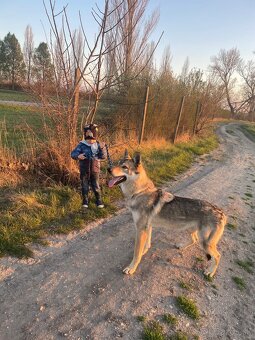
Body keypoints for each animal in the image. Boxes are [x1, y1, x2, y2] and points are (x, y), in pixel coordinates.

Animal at [107, 150, 225, 278]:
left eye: (124, 167)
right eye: (117, 163)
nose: (108, 169)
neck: (139, 192)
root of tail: (222, 213)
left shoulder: (140, 229)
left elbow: (136, 253)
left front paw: (131, 268)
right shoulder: (147, 227)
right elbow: (146, 245)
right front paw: (144, 251)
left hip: (206, 242)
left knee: (217, 256)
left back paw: (210, 272)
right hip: (192, 231)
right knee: (194, 240)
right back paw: (181, 246)